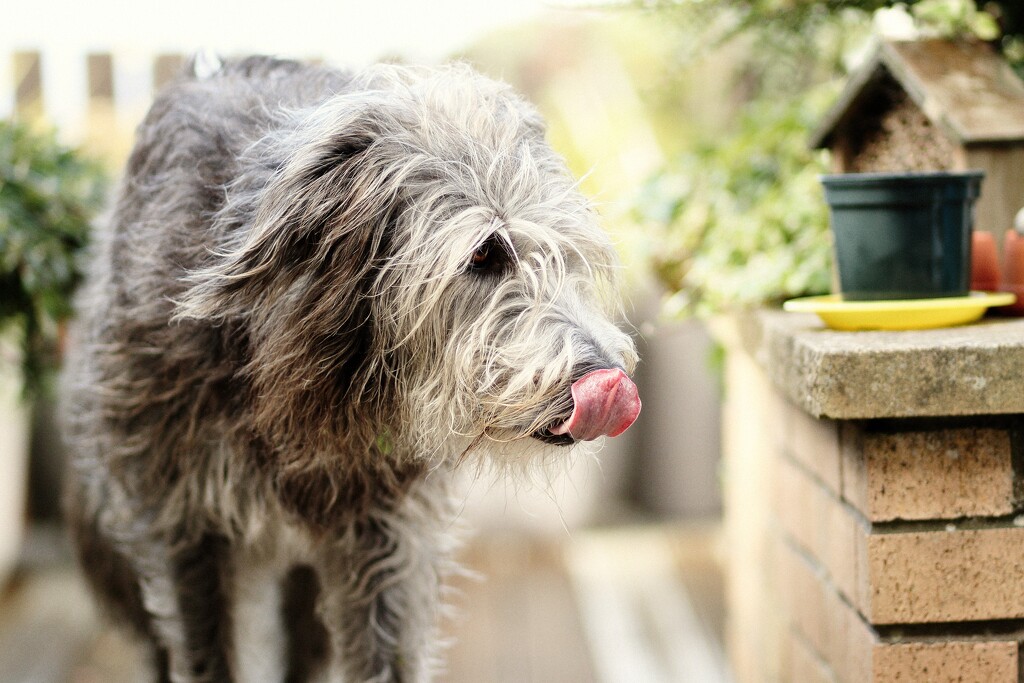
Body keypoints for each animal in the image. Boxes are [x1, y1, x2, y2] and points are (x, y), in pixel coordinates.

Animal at [61, 54, 638, 683]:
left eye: (566, 252)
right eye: (484, 252)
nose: (607, 381)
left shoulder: (387, 530)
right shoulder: (183, 526)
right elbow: (207, 650)